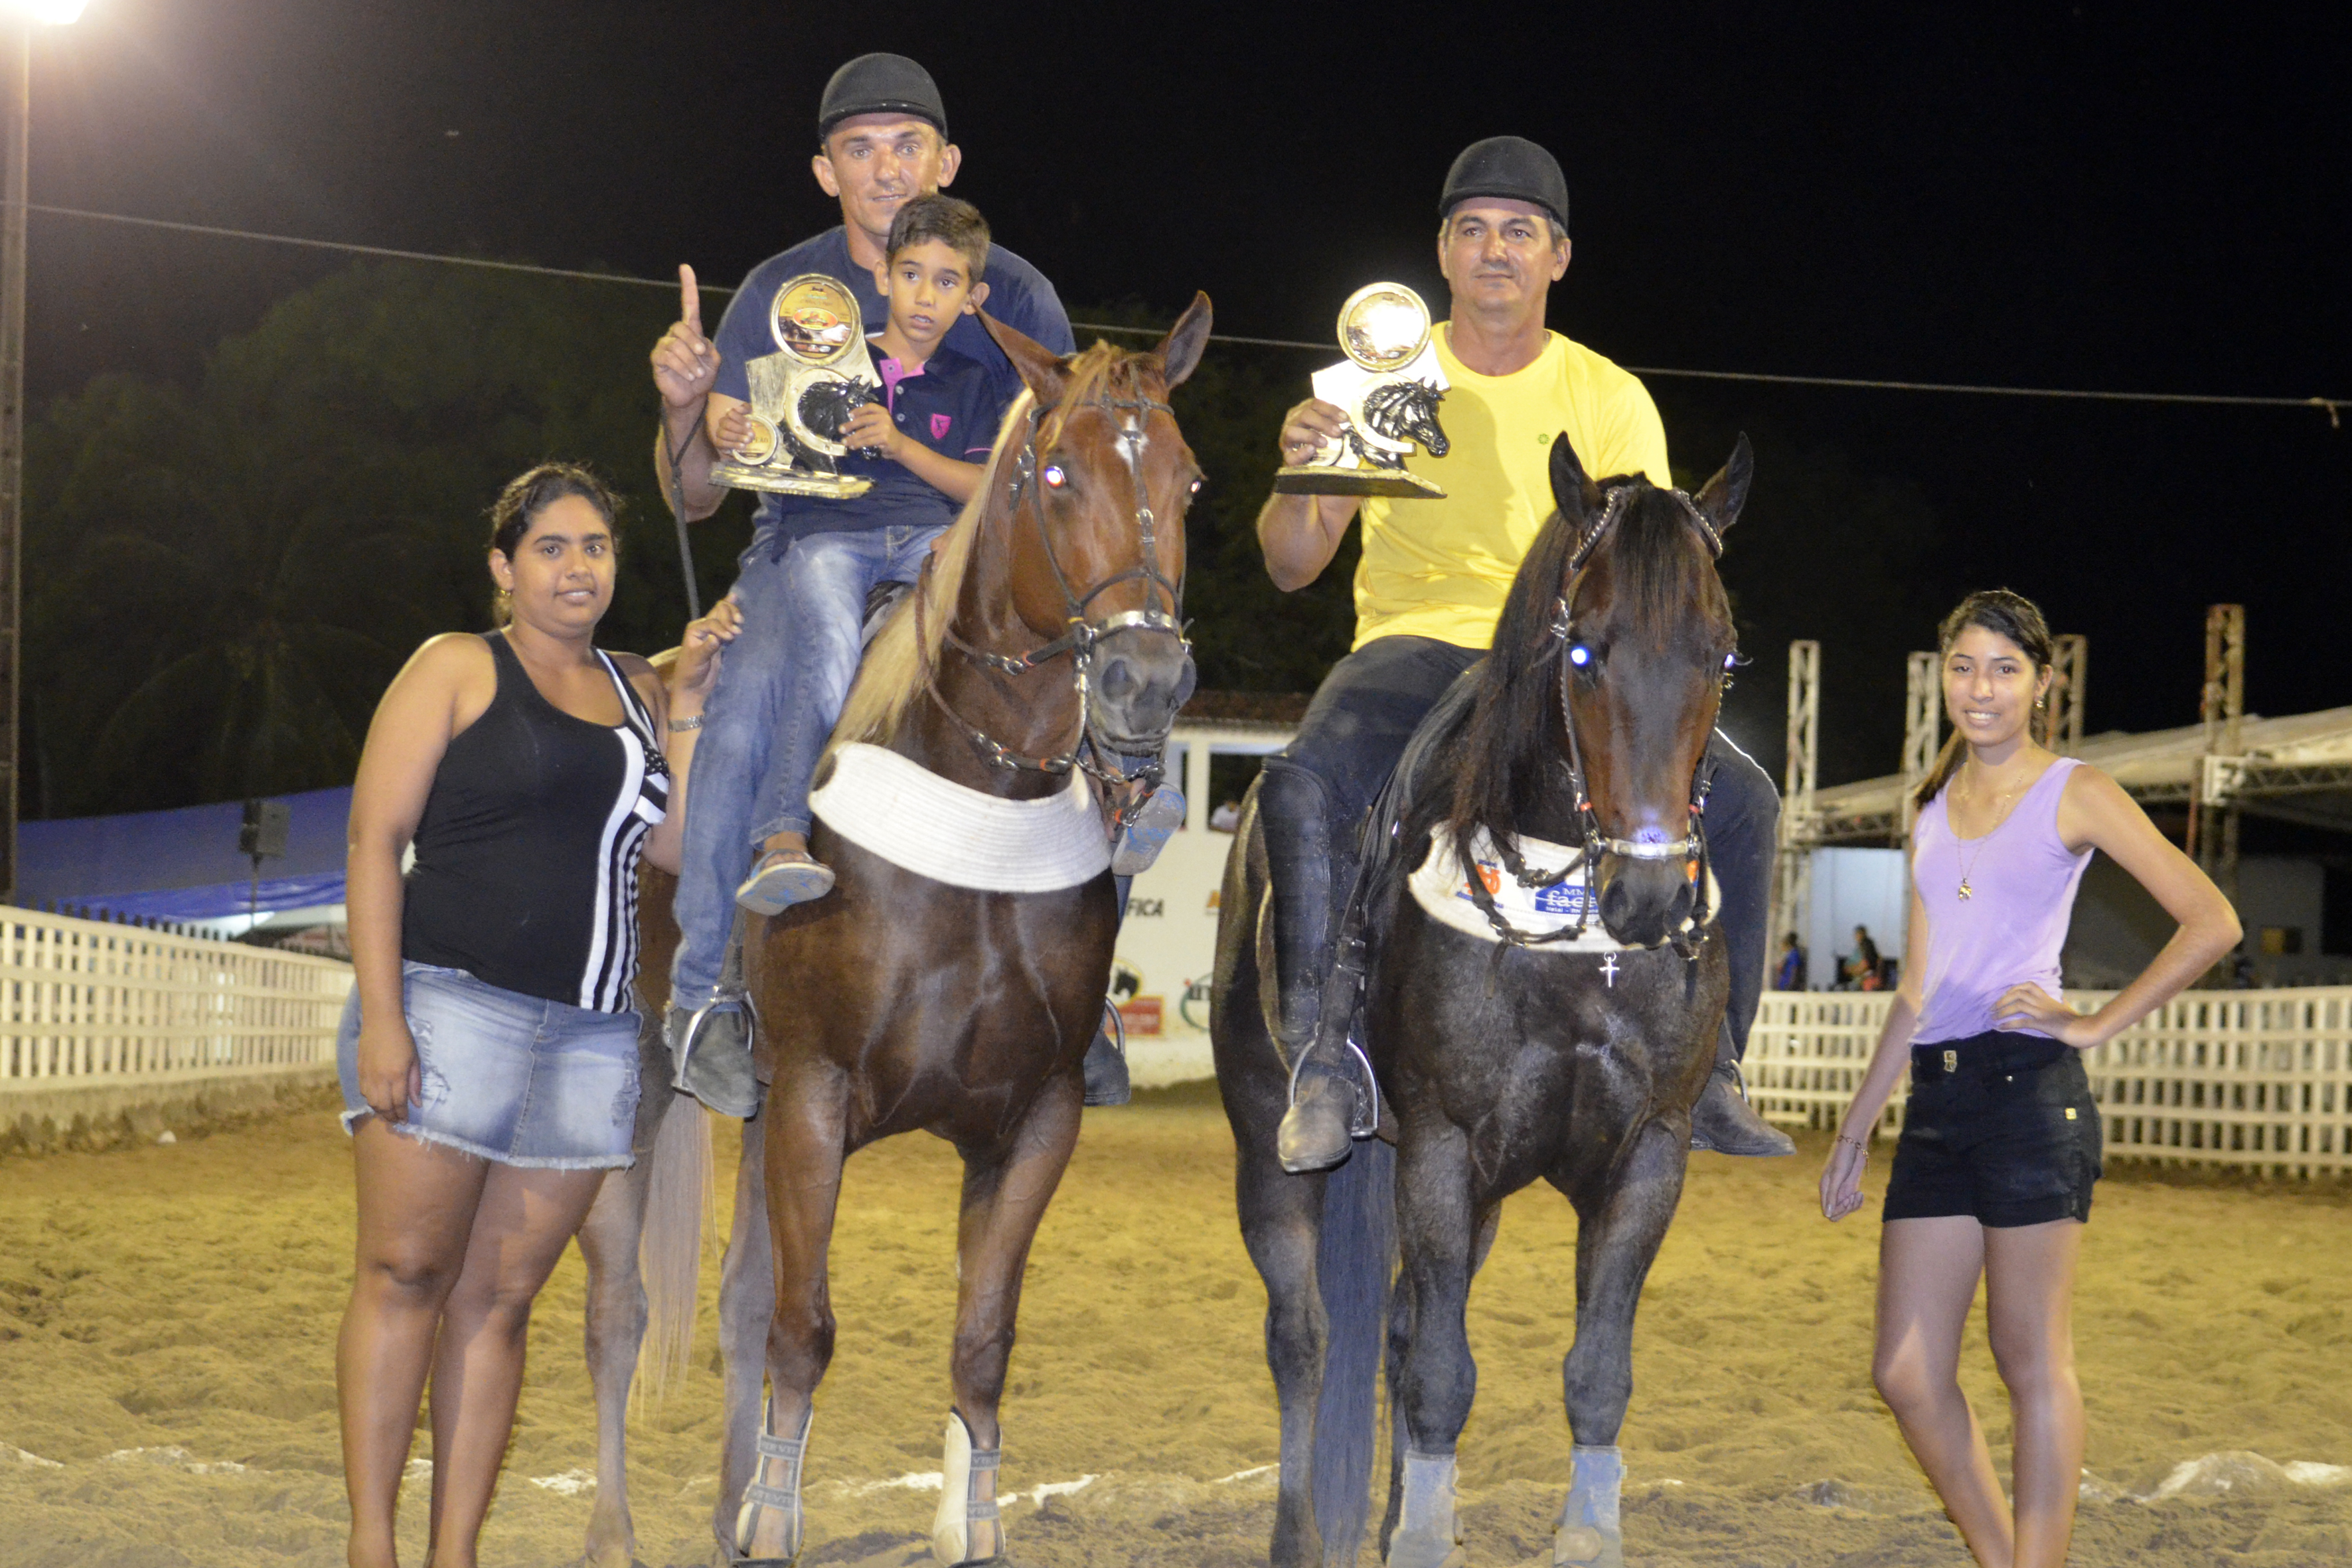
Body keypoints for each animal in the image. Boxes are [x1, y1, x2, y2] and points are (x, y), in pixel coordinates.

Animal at [715, 301, 1214, 1561]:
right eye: (1056, 472)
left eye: (1187, 479)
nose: (1144, 679)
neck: (979, 779)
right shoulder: (810, 1095)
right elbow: (804, 1322)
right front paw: (776, 1513)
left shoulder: (1034, 1120)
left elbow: (982, 1338)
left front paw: (970, 1515)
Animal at [1223, 432, 1759, 1568]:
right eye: (1583, 652)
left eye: (1721, 656)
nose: (1649, 895)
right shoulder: (1439, 1140)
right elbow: (1439, 1374)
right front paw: (1421, 1536)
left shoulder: (1647, 1152)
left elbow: (1592, 1374)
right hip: (1268, 1147)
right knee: (1302, 1338)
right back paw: (1301, 1532)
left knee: (1388, 1330)